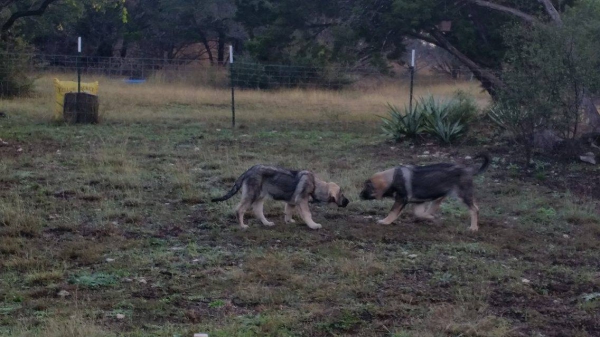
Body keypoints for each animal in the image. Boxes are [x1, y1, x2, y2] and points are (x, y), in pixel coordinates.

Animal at [358, 153, 490, 230]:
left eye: (366, 188)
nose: (359, 196)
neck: (392, 178)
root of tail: (469, 170)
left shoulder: (400, 199)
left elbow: (393, 212)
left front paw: (385, 221)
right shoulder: (418, 203)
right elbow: (419, 213)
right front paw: (429, 217)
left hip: (462, 195)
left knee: (474, 209)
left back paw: (473, 227)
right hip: (442, 195)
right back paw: (431, 217)